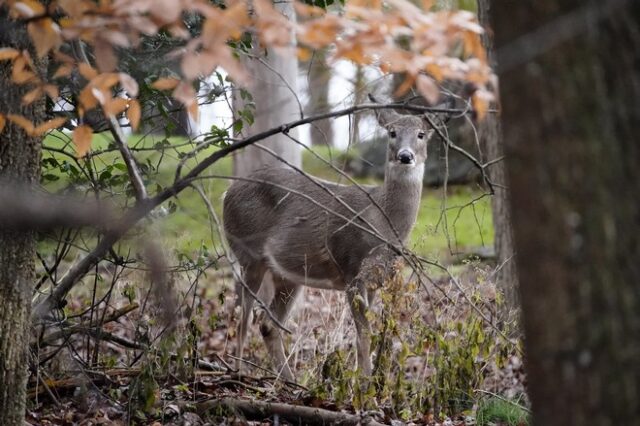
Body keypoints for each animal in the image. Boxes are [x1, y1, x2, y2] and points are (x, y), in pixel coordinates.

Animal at [222, 101, 438, 382]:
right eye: (392, 132)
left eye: (421, 134)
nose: (405, 156)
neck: (381, 222)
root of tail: (227, 191)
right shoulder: (351, 268)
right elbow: (364, 335)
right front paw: (365, 385)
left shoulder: (375, 280)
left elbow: (365, 335)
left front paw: (365, 381)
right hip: (248, 254)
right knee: (242, 318)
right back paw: (237, 372)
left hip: (288, 275)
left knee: (267, 324)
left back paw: (289, 381)